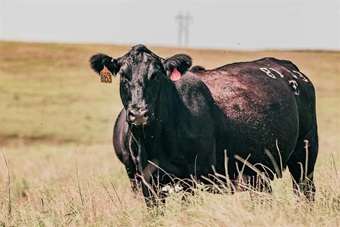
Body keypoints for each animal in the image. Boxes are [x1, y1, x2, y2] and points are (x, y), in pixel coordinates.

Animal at [89, 44, 318, 206]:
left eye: (156, 75)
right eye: (123, 76)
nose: (139, 112)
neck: (155, 141)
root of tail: (289, 68)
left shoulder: (190, 179)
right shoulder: (145, 181)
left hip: (305, 153)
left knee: (306, 192)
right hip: (258, 171)